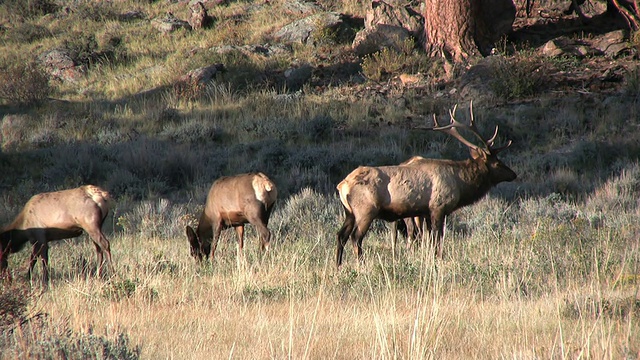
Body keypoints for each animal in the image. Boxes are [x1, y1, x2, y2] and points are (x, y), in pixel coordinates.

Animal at [338, 102, 516, 266]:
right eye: (498, 163)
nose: (513, 174)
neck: (461, 184)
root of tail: (342, 185)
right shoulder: (438, 207)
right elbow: (437, 238)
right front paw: (438, 259)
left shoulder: (425, 211)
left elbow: (430, 238)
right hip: (366, 210)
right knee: (356, 237)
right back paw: (361, 264)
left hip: (349, 212)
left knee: (341, 235)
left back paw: (338, 265)